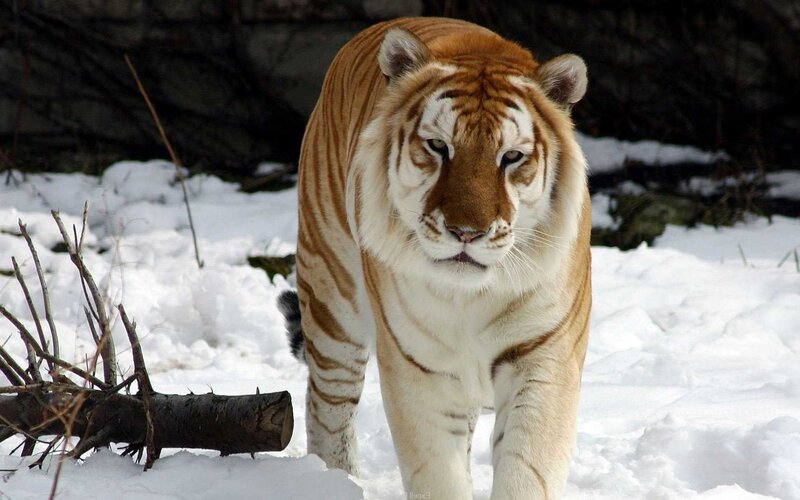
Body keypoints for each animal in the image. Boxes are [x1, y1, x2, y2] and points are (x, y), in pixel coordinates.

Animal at [278, 16, 591, 499]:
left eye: (511, 157)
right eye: (439, 147)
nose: (466, 232)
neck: (471, 296)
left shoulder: (543, 356)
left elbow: (526, 469)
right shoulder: (417, 366)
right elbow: (437, 472)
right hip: (332, 300)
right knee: (326, 406)